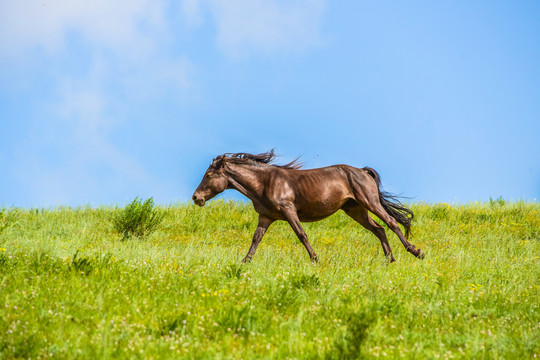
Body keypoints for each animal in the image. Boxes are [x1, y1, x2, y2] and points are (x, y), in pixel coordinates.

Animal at [192, 150, 424, 262]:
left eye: (209, 174)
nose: (196, 197)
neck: (264, 183)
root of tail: (361, 170)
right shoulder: (266, 217)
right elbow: (256, 238)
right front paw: (244, 262)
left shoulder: (288, 210)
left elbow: (301, 234)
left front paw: (315, 259)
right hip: (355, 210)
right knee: (379, 229)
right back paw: (390, 259)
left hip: (370, 202)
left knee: (392, 222)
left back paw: (416, 252)